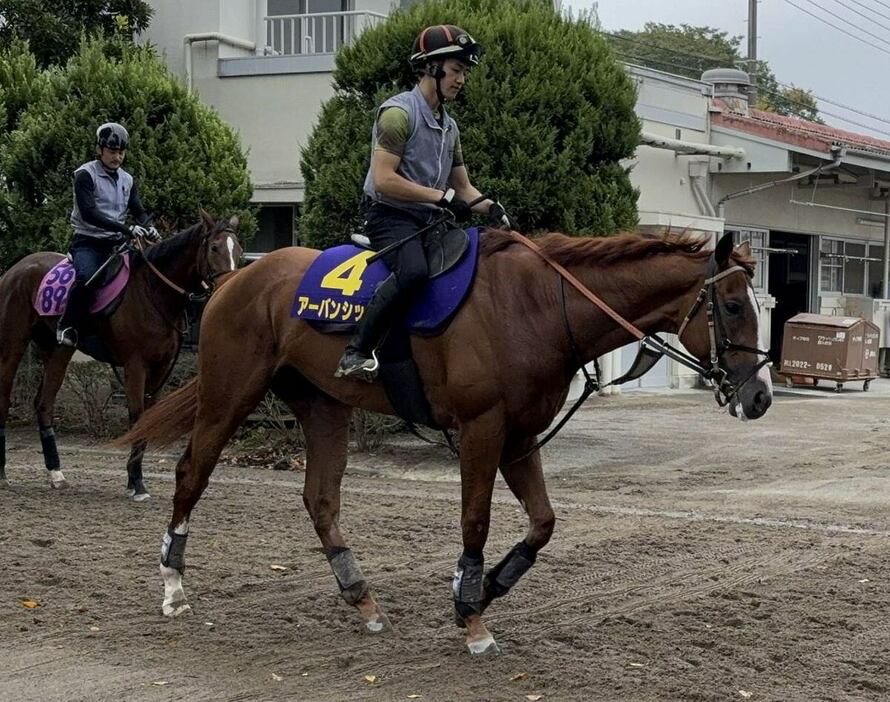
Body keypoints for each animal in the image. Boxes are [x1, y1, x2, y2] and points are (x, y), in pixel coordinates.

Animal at [0, 212, 243, 498]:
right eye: (214, 247)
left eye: (238, 250)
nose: (229, 286)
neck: (153, 291)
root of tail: (17, 268)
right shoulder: (135, 366)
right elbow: (136, 417)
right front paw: (137, 482)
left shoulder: (159, 368)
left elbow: (148, 419)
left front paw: (133, 480)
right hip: (12, 344)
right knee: (5, 399)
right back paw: (3, 473)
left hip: (59, 349)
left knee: (44, 404)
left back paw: (56, 473)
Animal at [118, 230, 772, 656]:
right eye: (732, 305)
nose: (761, 395)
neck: (536, 306)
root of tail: (236, 277)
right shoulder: (483, 427)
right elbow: (476, 519)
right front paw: (472, 613)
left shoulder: (520, 434)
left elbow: (543, 522)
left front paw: (483, 588)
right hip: (230, 392)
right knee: (192, 472)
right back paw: (173, 584)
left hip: (323, 406)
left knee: (320, 500)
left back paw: (361, 596)